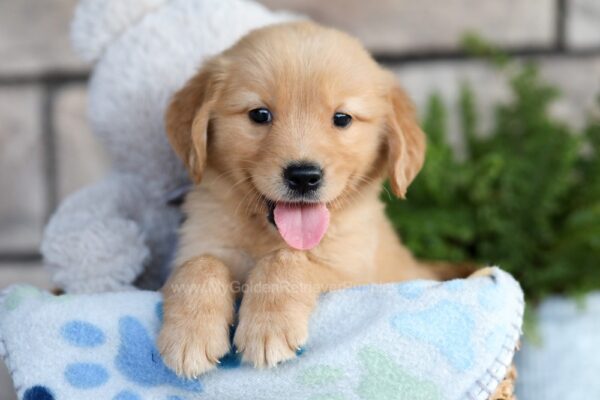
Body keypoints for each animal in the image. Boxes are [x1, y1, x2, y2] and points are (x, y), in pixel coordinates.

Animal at [158, 21, 460, 378]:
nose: (303, 176)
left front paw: (268, 327)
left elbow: (289, 259)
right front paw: (189, 335)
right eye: (260, 114)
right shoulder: (199, 243)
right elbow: (199, 265)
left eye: (342, 118)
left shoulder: (353, 273)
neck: (267, 234)